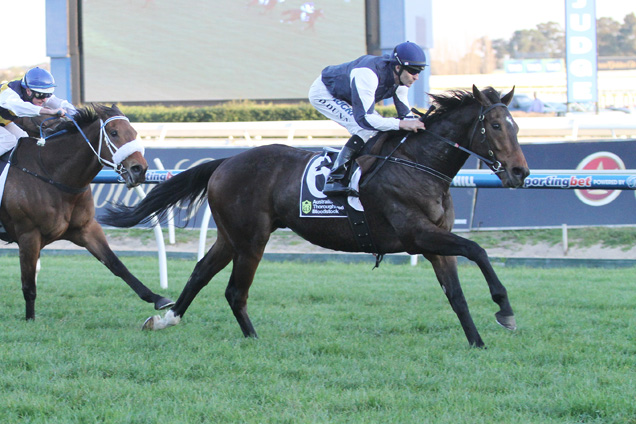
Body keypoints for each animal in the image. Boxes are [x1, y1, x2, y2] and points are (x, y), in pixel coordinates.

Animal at [2, 104, 173, 320]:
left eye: (134, 132)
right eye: (114, 132)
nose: (139, 169)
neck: (51, 174)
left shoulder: (86, 228)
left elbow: (116, 264)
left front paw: (158, 298)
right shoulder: (28, 234)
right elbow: (29, 285)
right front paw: (30, 319)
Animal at [100, 86, 528, 348]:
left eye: (516, 125)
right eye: (494, 125)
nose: (520, 172)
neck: (419, 165)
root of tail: (225, 161)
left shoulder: (434, 241)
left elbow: (456, 294)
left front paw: (477, 342)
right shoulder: (417, 234)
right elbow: (478, 250)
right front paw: (505, 310)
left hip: (230, 235)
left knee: (202, 273)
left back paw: (166, 319)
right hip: (251, 239)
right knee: (235, 291)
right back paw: (253, 339)